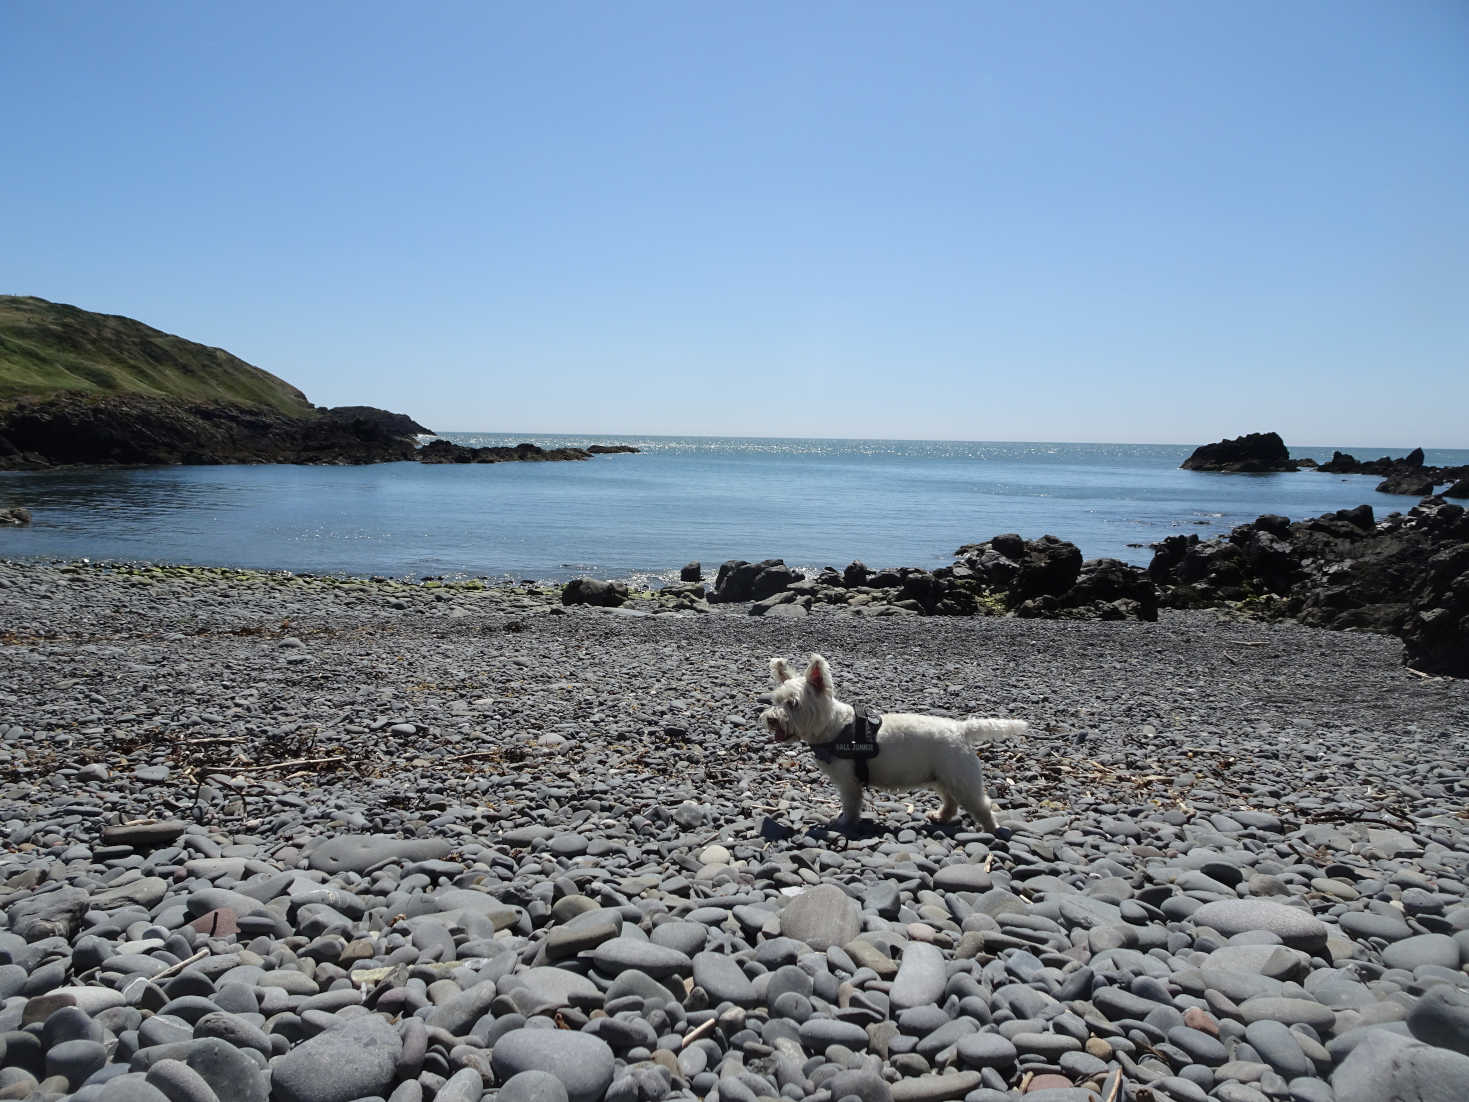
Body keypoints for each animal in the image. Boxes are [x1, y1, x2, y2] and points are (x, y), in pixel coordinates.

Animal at [763, 655, 1028, 828]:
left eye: (793, 704)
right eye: (776, 700)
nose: (771, 720)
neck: (834, 726)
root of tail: (960, 729)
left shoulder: (849, 782)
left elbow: (850, 805)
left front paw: (843, 822)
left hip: (961, 778)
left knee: (981, 804)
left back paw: (991, 830)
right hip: (943, 776)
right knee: (950, 801)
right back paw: (940, 817)